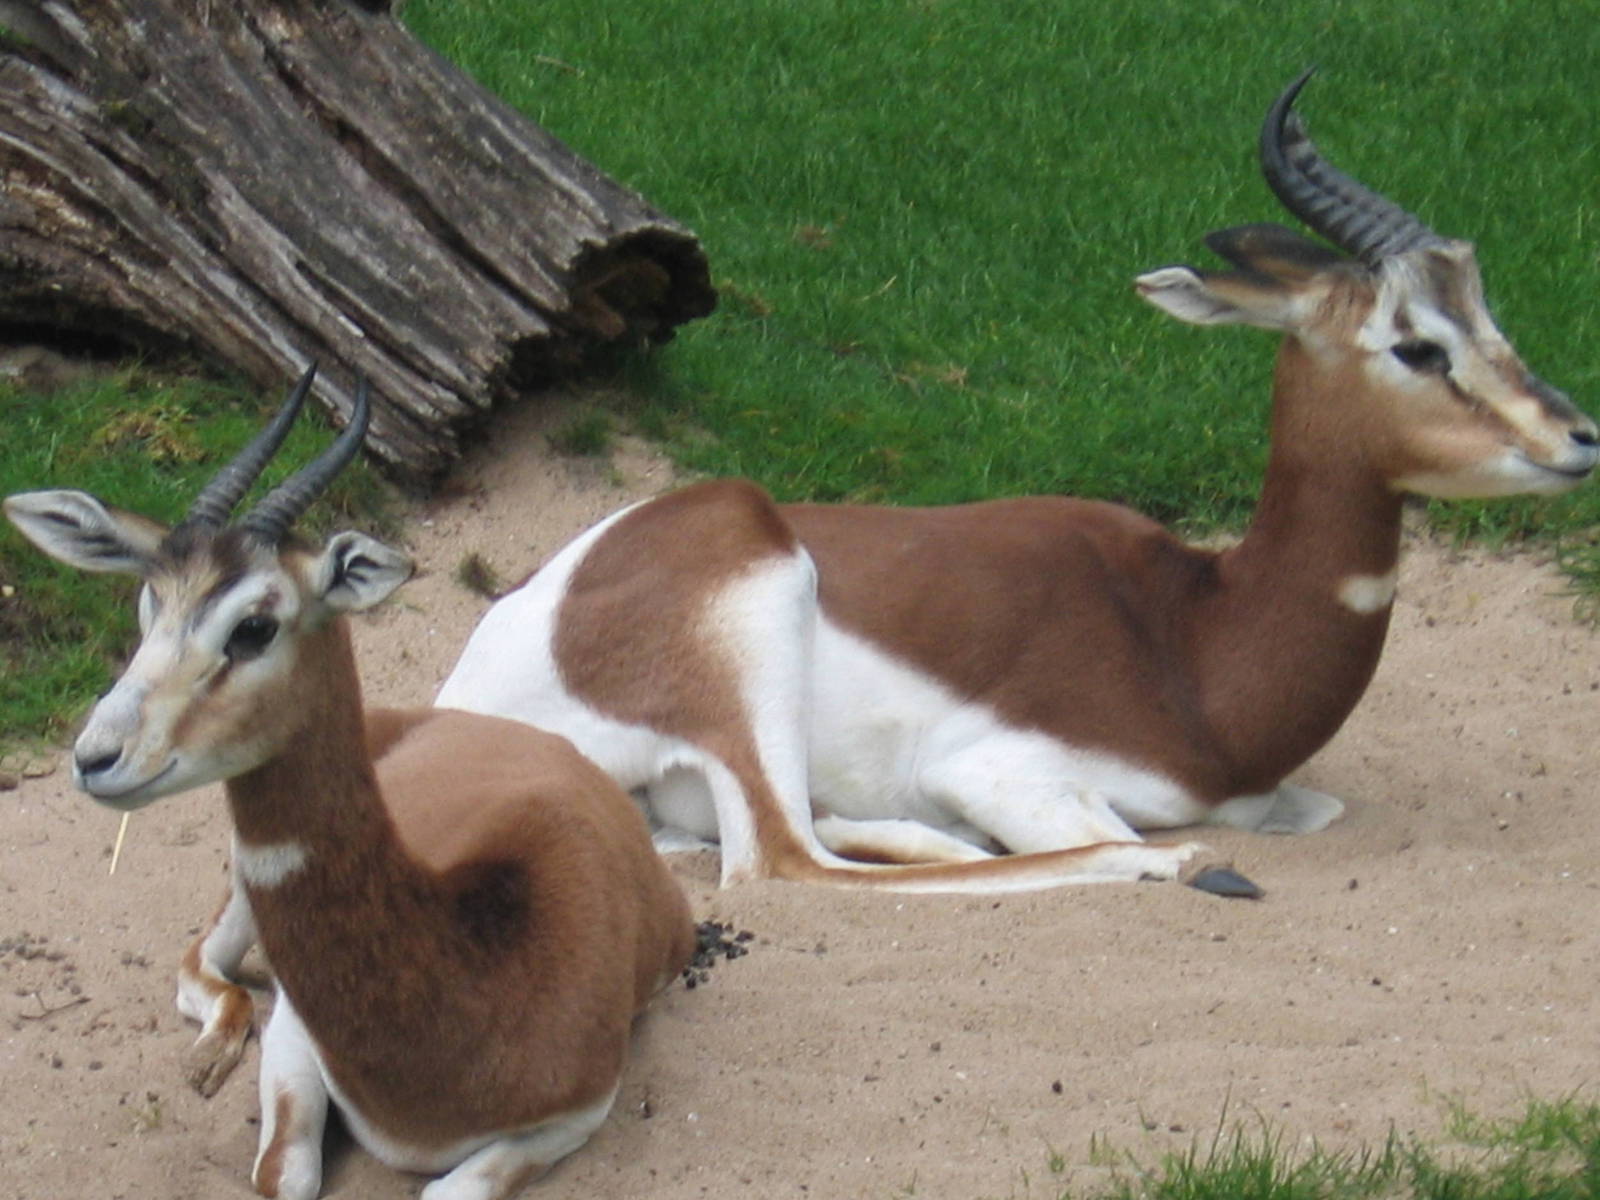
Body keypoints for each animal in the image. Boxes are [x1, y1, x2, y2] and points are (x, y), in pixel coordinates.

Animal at [5, 369, 695, 1200]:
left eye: (254, 626)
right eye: (149, 606)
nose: (97, 756)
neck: (484, 964)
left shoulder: (579, 1113)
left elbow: (445, 1189)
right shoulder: (297, 1034)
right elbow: (286, 1172)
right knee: (202, 961)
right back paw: (212, 1052)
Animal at [437, 71, 1597, 898]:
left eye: (1490, 319)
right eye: (1416, 344)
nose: (1579, 437)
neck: (1198, 645)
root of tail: (473, 687)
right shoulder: (1003, 771)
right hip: (754, 597)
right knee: (789, 863)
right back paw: (1163, 862)